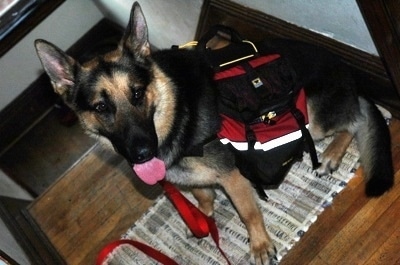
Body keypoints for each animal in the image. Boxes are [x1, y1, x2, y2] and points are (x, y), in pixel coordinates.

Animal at [35, 1, 394, 262]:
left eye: (137, 93)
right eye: (100, 107)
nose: (143, 153)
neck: (175, 109)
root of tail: (351, 78)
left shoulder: (232, 177)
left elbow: (248, 213)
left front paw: (259, 245)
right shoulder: (197, 180)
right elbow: (202, 196)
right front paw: (202, 218)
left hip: (313, 116)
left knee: (355, 121)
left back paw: (332, 154)